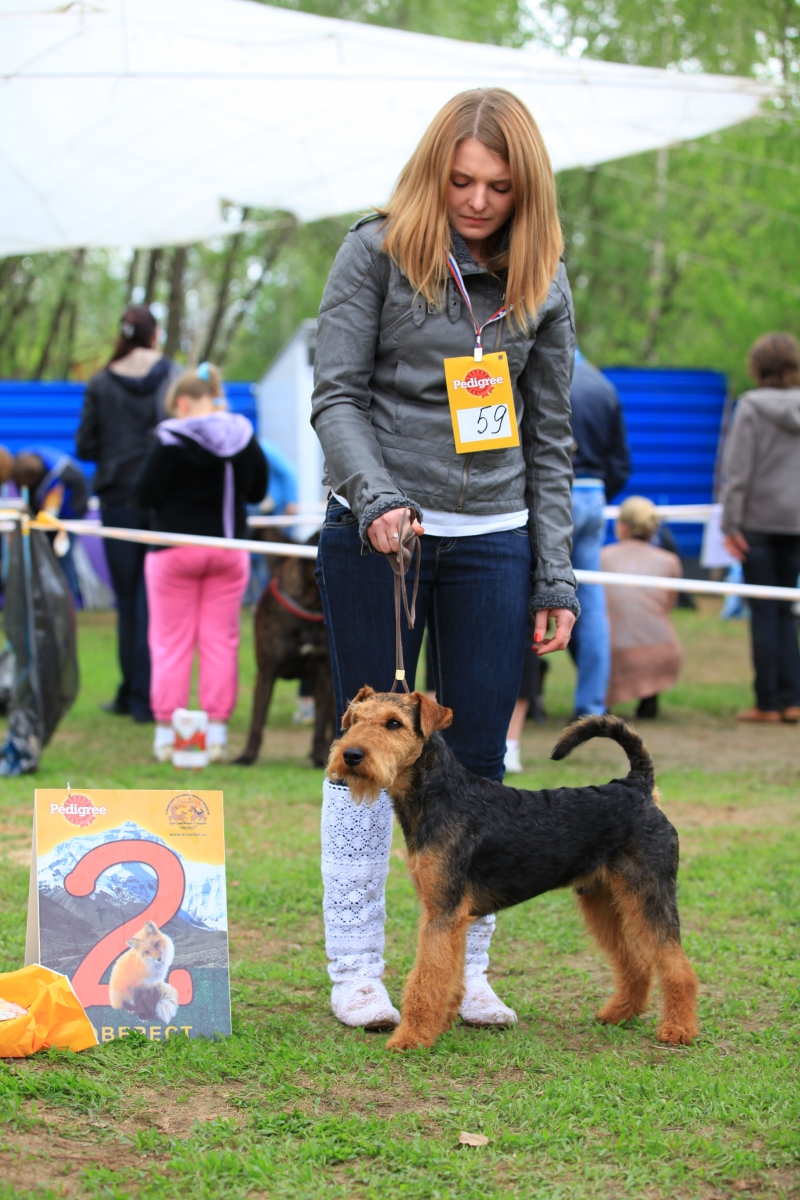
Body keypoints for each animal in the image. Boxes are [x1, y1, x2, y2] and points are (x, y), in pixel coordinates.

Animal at [232, 535, 333, 768]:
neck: (310, 604)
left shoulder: (323, 677)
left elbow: (320, 723)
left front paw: (318, 756)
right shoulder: (266, 673)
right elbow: (257, 721)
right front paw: (247, 756)